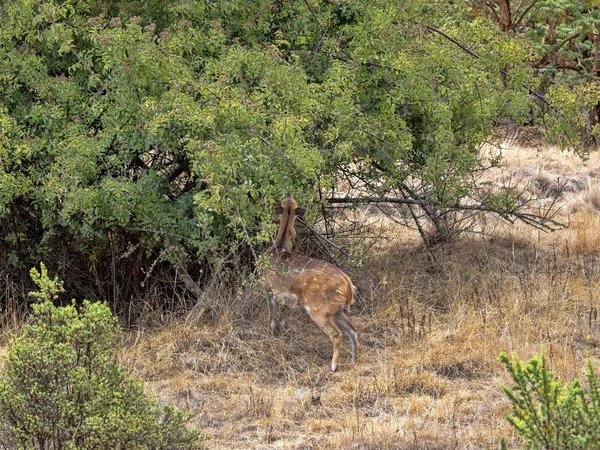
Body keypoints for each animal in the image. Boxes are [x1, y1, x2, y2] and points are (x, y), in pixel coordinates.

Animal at [264, 193, 358, 372]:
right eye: (288, 201)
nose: (288, 193)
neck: (278, 248)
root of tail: (348, 285)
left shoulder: (270, 289)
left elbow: (273, 313)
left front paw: (272, 332)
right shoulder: (284, 296)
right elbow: (283, 315)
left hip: (318, 310)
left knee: (338, 334)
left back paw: (333, 366)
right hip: (336, 309)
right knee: (353, 329)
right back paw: (354, 360)